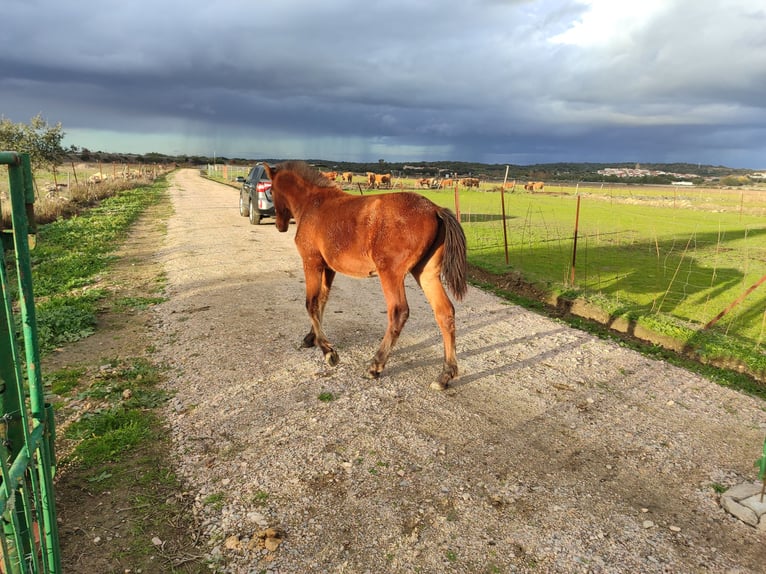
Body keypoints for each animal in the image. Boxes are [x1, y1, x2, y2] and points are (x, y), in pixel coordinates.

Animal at [262, 161, 467, 390]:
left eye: (271, 190)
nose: (280, 225)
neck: (312, 203)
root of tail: (435, 209)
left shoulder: (311, 262)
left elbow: (311, 303)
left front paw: (328, 352)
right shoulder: (329, 268)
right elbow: (322, 301)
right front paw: (312, 338)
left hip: (390, 273)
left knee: (399, 312)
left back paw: (375, 366)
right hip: (426, 273)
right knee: (445, 312)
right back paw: (445, 375)